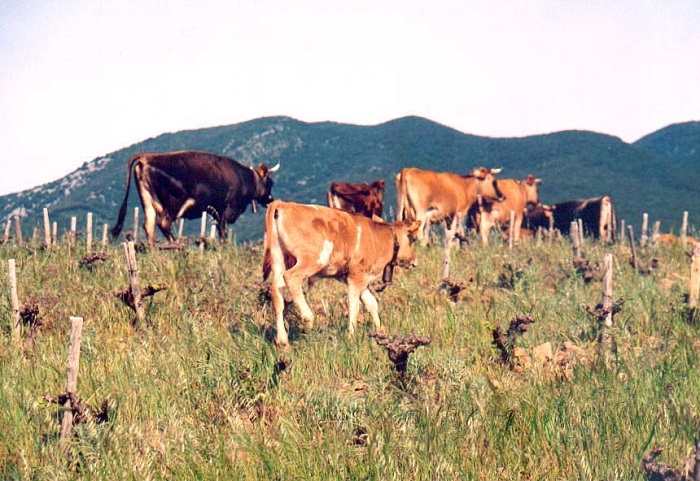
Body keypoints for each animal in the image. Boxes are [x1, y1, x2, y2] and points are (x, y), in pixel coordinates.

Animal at [109, 150, 278, 246]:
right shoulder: (227, 209)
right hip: (174, 202)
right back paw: (176, 247)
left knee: (149, 226)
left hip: (148, 203)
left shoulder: (216, 211)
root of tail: (147, 157)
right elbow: (223, 233)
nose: (271, 200)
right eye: (270, 182)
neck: (243, 178)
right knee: (163, 223)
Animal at [262, 199, 416, 344]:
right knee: (291, 277)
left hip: (277, 257)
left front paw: (381, 330)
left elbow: (371, 303)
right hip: (314, 259)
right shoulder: (356, 275)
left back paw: (282, 340)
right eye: (412, 239)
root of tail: (284, 204)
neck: (379, 238)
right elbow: (354, 305)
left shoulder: (356, 278)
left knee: (276, 290)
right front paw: (351, 336)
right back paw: (308, 317)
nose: (414, 262)